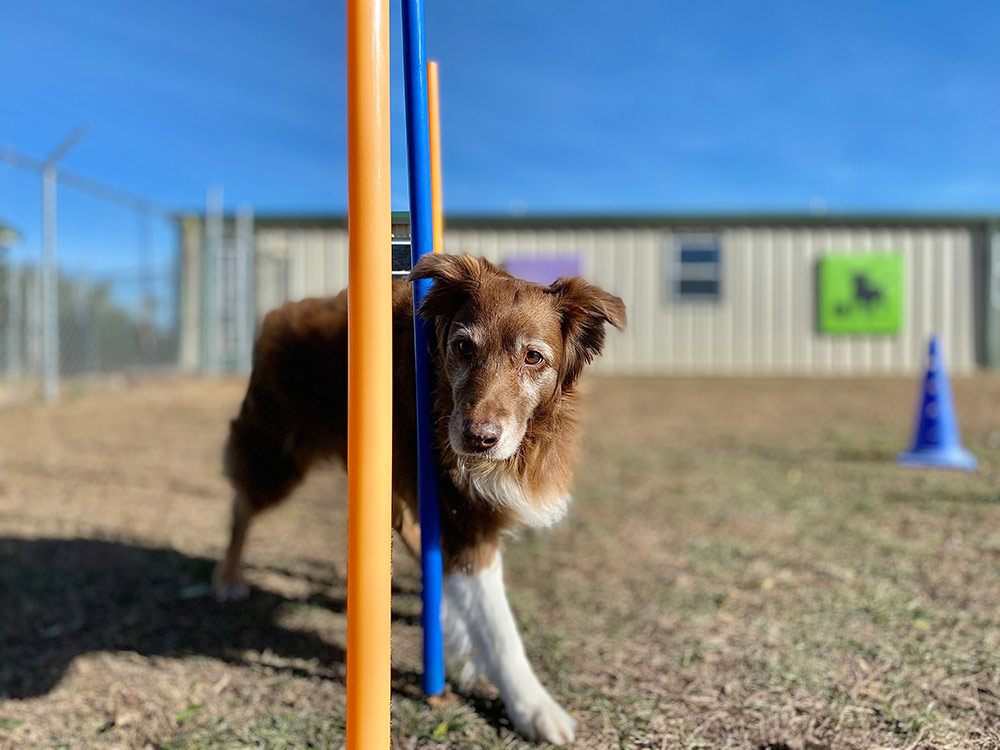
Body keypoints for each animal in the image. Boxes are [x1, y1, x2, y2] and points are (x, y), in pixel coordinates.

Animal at [216, 254, 624, 748]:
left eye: (533, 357)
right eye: (463, 346)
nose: (478, 439)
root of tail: (282, 310)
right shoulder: (464, 525)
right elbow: (499, 629)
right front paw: (533, 707)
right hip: (276, 458)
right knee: (241, 507)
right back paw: (229, 578)